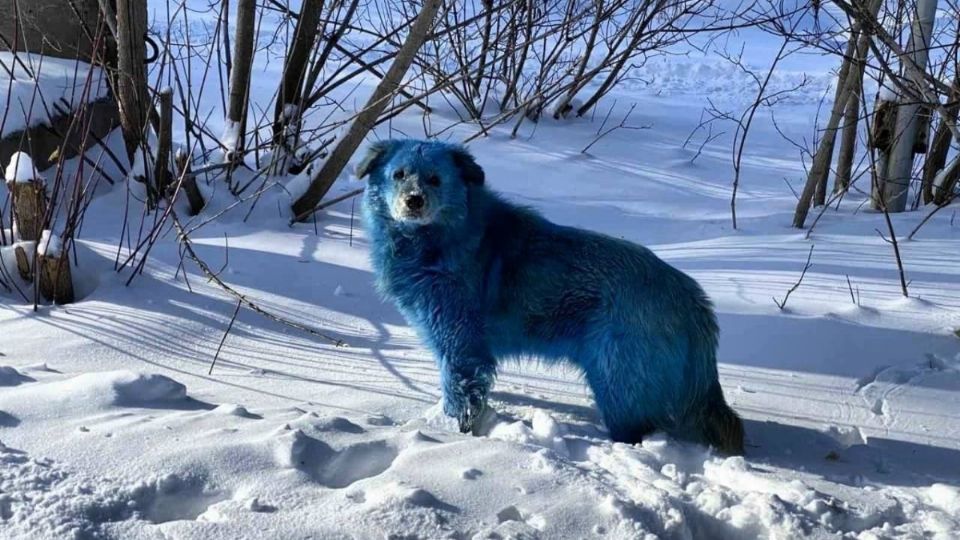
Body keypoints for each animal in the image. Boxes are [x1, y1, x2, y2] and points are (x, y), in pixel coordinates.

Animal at [360, 138, 744, 452]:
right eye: (399, 174)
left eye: (435, 179)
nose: (413, 201)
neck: (442, 238)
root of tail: (692, 299)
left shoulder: (460, 345)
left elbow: (460, 395)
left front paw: (452, 435)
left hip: (616, 381)